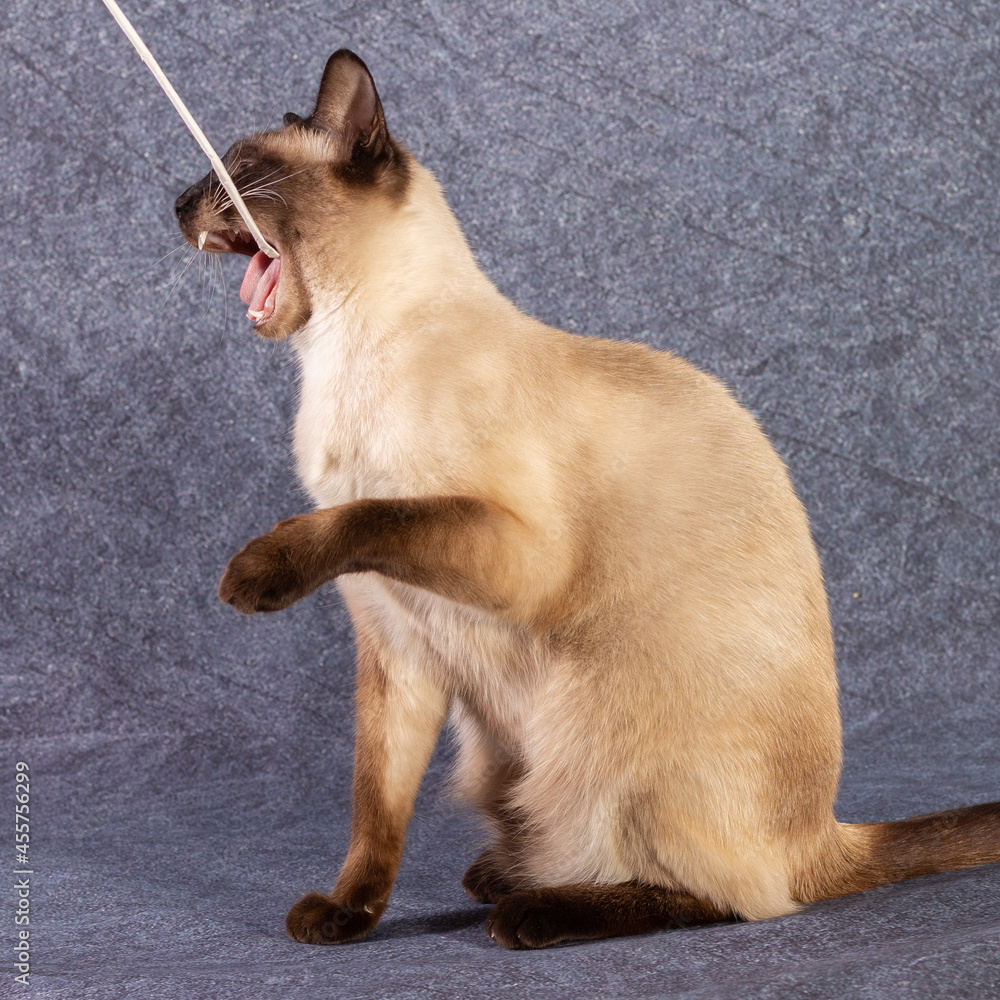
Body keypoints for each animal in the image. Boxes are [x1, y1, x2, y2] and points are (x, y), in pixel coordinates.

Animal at [176, 48, 996, 952]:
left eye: (239, 168)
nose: (177, 202)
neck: (337, 362)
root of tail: (826, 833)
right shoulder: (395, 643)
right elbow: (374, 809)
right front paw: (344, 916)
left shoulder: (511, 553)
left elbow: (369, 512)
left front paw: (254, 574)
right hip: (499, 746)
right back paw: (502, 875)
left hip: (588, 726)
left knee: (735, 897)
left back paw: (531, 911)